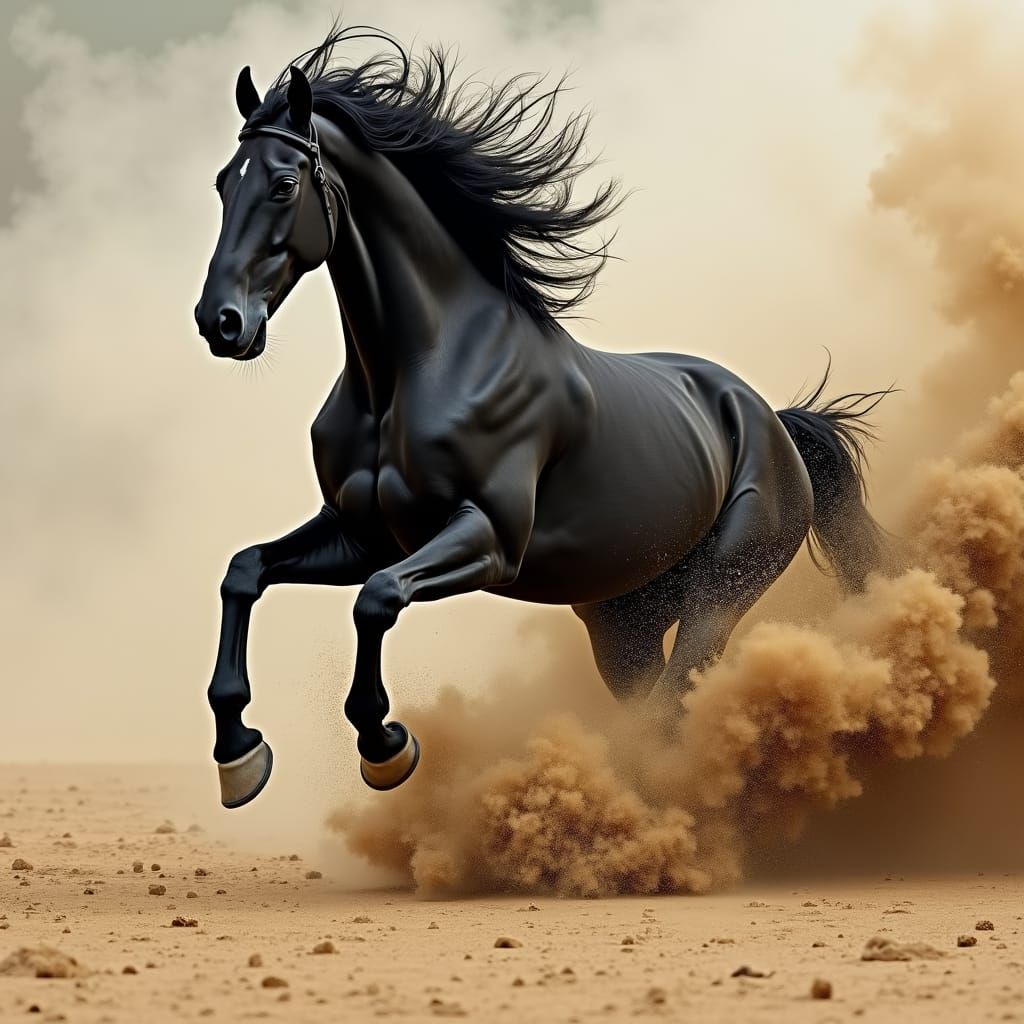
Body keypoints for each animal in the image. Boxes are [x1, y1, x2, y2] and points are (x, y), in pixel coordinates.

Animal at [194, 26, 886, 808]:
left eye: (283, 185)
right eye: (223, 184)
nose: (221, 323)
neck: (409, 375)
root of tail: (771, 418)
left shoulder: (487, 540)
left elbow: (376, 601)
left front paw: (385, 747)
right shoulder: (360, 535)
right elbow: (244, 572)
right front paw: (239, 756)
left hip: (722, 590)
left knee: (679, 696)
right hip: (623, 623)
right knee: (653, 699)